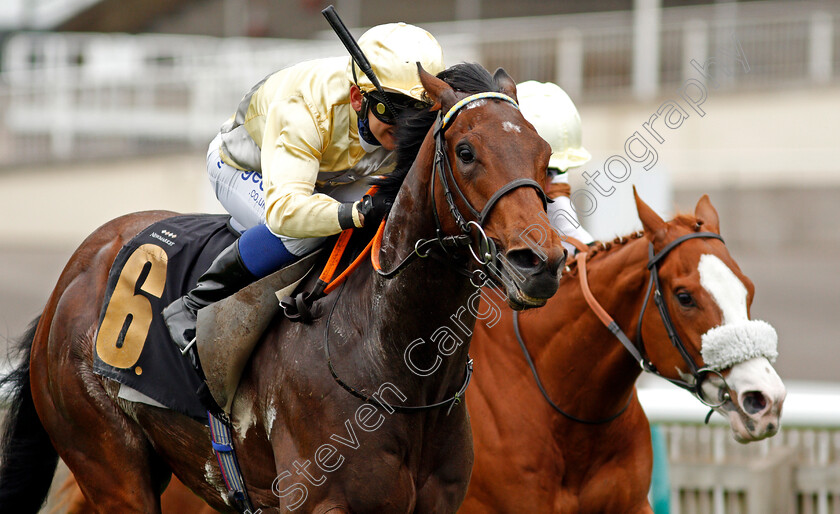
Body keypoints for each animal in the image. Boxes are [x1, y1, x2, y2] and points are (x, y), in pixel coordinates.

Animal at [1, 64, 564, 512]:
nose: (539, 262)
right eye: (466, 151)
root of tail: (74, 273)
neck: (390, 360)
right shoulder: (320, 502)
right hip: (110, 467)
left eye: (546, 156)